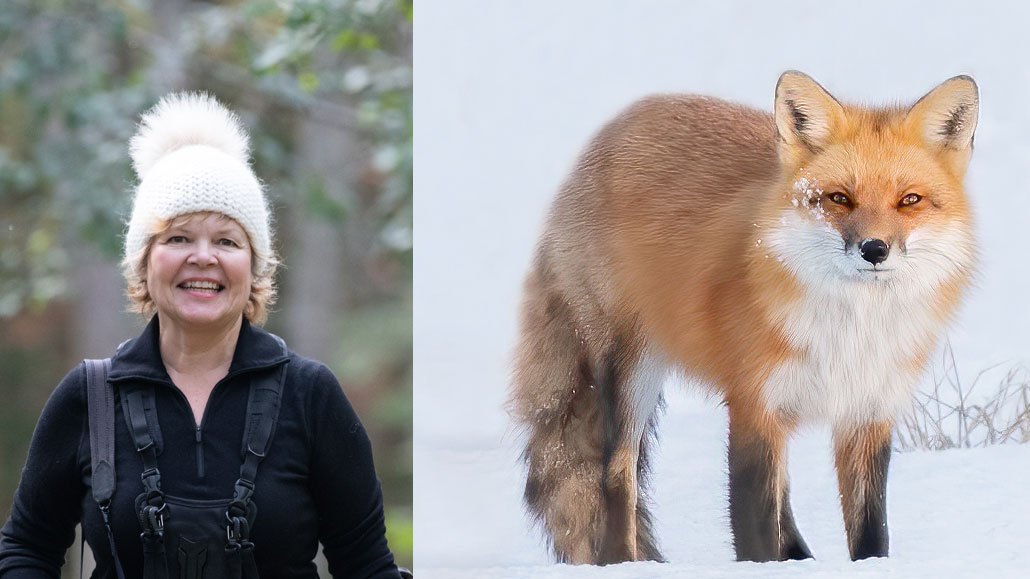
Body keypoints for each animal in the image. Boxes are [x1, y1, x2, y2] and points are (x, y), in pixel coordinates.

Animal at [510, 72, 976, 564]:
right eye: (839, 199)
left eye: (910, 200)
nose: (874, 249)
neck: (850, 331)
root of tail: (615, 127)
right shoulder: (754, 404)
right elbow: (754, 529)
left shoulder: (868, 411)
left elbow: (871, 531)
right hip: (631, 371)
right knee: (616, 477)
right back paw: (623, 564)